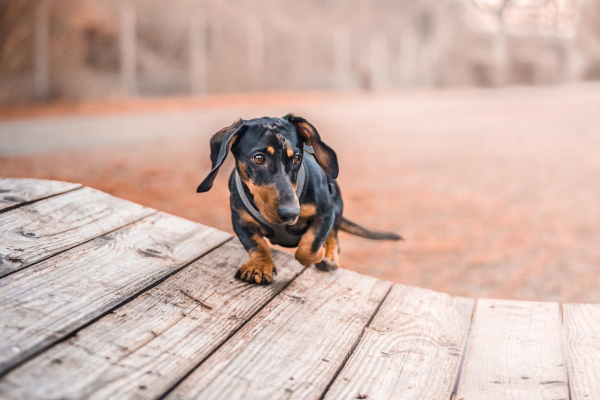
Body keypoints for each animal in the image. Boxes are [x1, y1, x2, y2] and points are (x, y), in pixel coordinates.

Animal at [198, 115, 404, 284]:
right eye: (259, 158)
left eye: (297, 158)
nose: (291, 213)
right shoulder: (240, 221)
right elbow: (257, 244)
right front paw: (259, 266)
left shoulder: (326, 212)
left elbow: (309, 247)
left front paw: (319, 254)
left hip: (337, 210)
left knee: (334, 238)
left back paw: (329, 259)